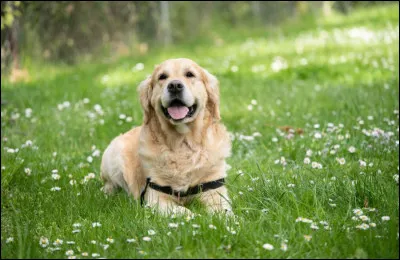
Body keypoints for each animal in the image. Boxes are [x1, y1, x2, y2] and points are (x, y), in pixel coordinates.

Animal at [99, 59, 231, 215]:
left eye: (190, 74)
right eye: (162, 77)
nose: (174, 86)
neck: (182, 143)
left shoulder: (214, 190)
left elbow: (224, 212)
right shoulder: (155, 197)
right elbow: (184, 211)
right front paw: (195, 216)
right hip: (113, 155)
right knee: (109, 184)